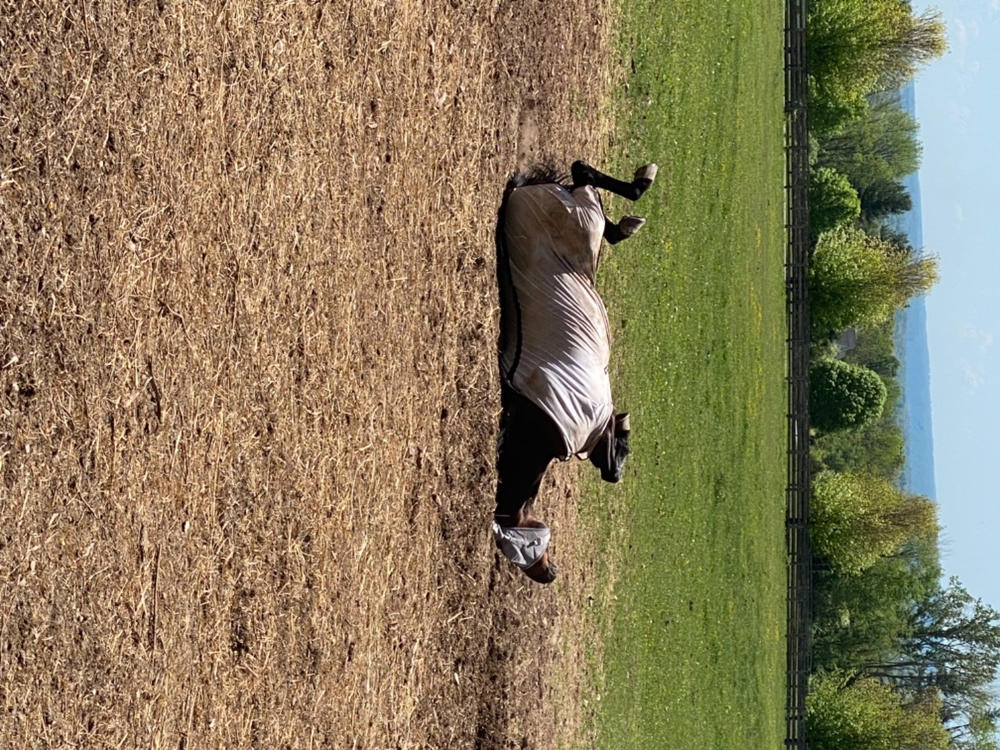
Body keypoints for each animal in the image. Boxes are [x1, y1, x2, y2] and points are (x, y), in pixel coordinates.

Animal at [492, 159, 656, 584]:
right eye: (627, 447)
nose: (548, 573)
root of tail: (525, 191)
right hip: (582, 220)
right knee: (585, 180)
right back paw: (638, 190)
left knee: (585, 180)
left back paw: (634, 203)